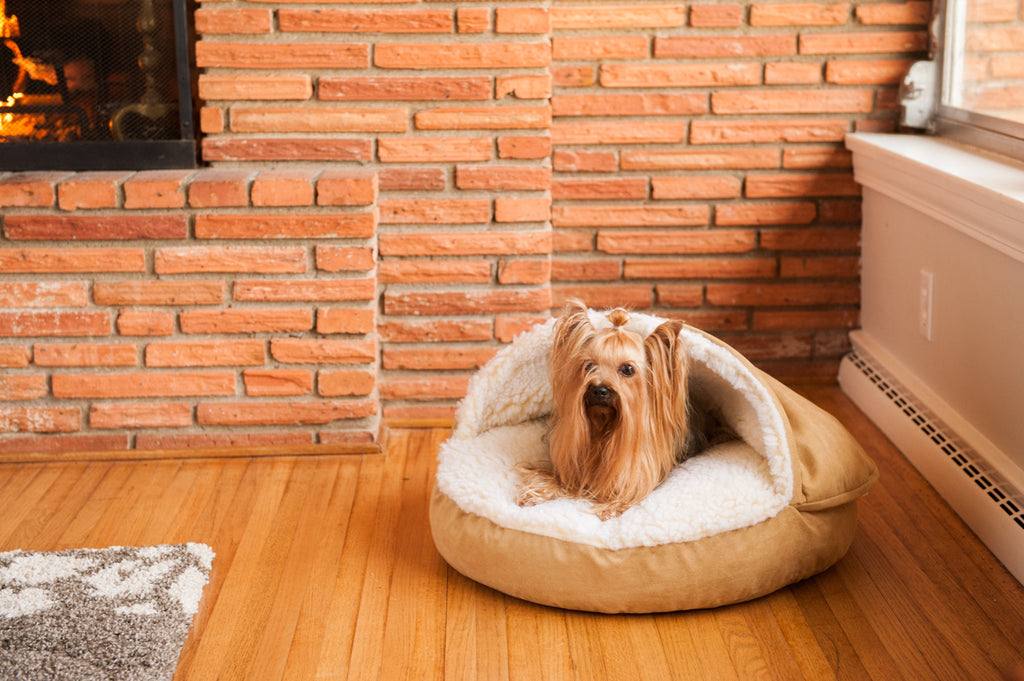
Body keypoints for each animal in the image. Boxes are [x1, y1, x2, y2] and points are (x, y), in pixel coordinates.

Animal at [516, 301, 708, 518]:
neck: (603, 426)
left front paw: (610, 507)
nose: (599, 390)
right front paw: (534, 494)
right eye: (588, 365)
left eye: (627, 370)